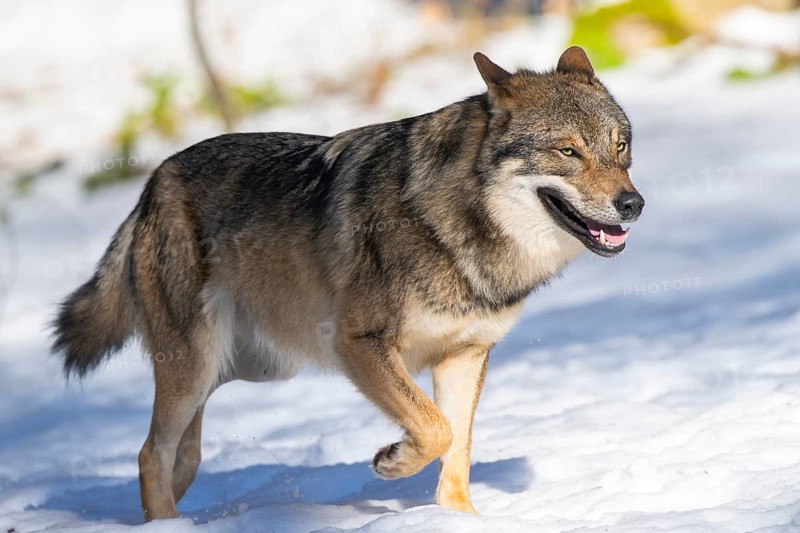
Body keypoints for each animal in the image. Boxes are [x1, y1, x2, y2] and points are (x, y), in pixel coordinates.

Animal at [52, 46, 644, 520]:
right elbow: (436, 429)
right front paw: (393, 461)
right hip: (198, 366)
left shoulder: (465, 355)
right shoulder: (359, 343)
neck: (460, 225)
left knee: (183, 457)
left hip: (247, 368)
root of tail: (153, 182)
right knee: (150, 454)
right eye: (568, 151)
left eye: (620, 148)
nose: (633, 204)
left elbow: (456, 450)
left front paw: (458, 519)